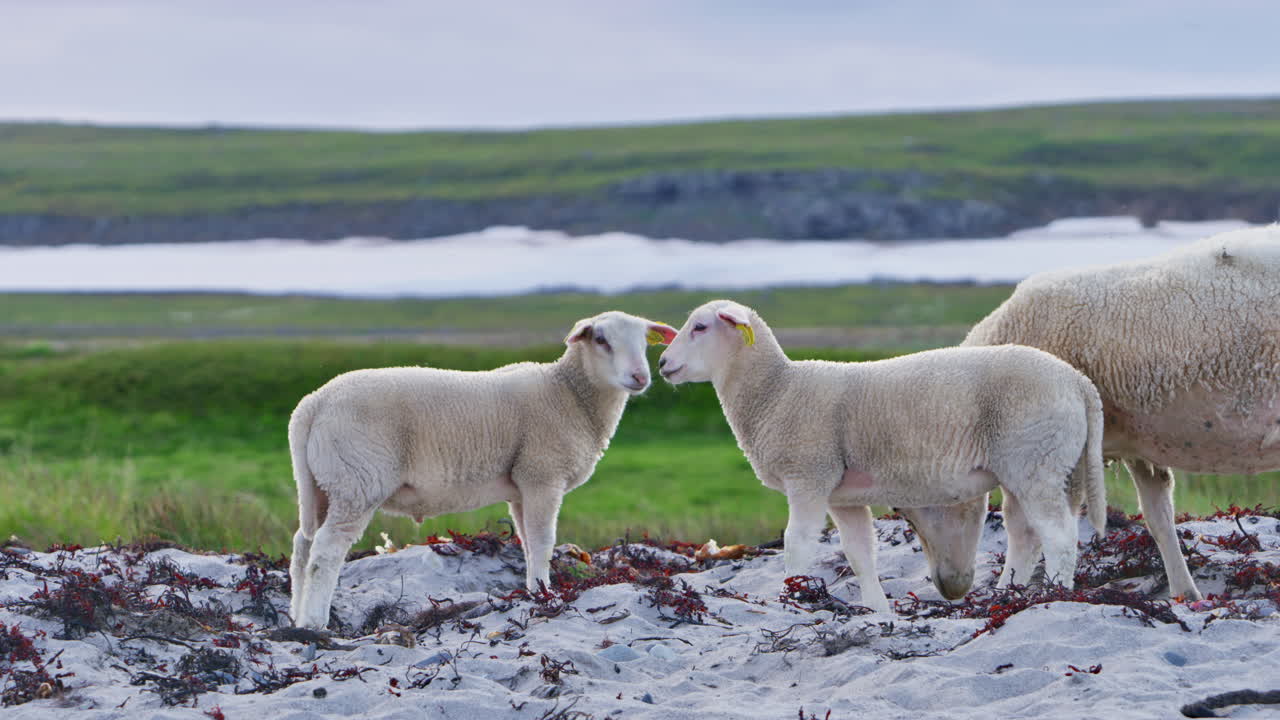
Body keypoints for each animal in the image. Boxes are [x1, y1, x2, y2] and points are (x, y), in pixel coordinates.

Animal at [287, 311, 678, 629]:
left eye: (644, 342)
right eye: (601, 340)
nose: (640, 376)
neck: (568, 394)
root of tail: (312, 405)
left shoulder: (522, 484)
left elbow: (527, 543)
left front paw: (533, 590)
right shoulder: (543, 474)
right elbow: (543, 541)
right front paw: (546, 594)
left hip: (323, 483)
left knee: (303, 546)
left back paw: (296, 616)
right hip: (358, 481)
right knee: (325, 553)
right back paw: (315, 621)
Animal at [658, 300, 1105, 612]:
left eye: (700, 327)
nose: (662, 363)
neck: (777, 390)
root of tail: (1078, 382)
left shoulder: (808, 476)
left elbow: (796, 544)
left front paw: (792, 597)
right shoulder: (842, 495)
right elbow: (860, 555)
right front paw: (877, 610)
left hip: (1036, 460)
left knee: (1059, 537)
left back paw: (1054, 595)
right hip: (1039, 465)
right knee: (1025, 535)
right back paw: (1005, 594)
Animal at [944, 225, 1280, 601]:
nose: (952, 587)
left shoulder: (1047, 452)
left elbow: (1027, 529)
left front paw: (1010, 590)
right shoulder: (1138, 446)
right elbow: (1158, 515)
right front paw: (1185, 592)